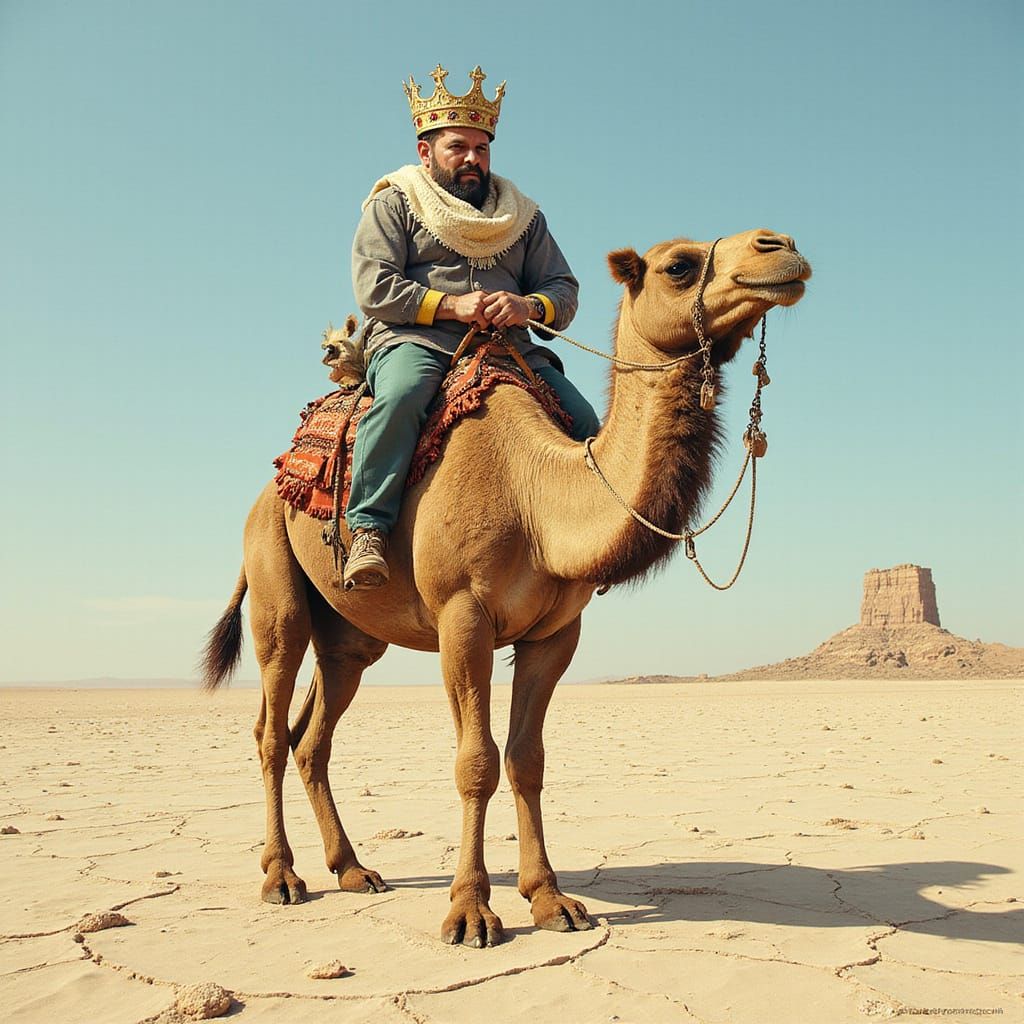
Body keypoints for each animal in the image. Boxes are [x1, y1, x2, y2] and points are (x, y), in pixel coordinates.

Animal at [201, 228, 811, 948]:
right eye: (679, 266)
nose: (782, 248)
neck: (536, 494)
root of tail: (269, 489)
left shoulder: (555, 634)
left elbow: (527, 758)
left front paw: (551, 899)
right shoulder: (462, 616)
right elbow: (477, 761)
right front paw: (471, 912)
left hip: (350, 638)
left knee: (313, 735)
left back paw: (353, 870)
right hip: (277, 587)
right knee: (271, 727)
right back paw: (283, 877)